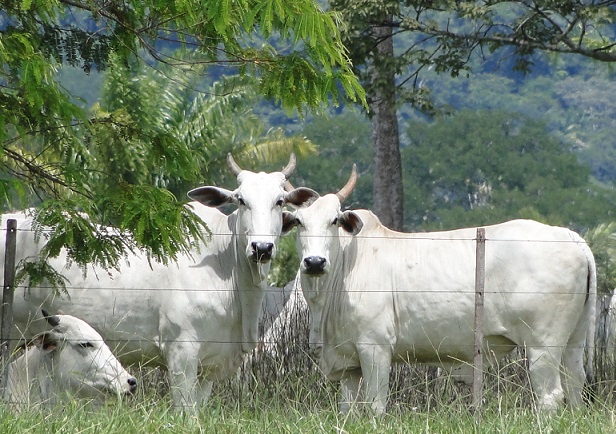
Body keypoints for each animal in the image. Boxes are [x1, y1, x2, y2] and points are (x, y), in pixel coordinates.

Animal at [284, 166, 596, 414]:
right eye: (299, 222)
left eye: (334, 220)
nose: (314, 262)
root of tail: (569, 235)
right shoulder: (348, 363)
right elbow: (348, 410)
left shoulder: (375, 348)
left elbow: (376, 405)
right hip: (573, 339)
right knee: (575, 383)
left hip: (543, 344)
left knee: (551, 395)